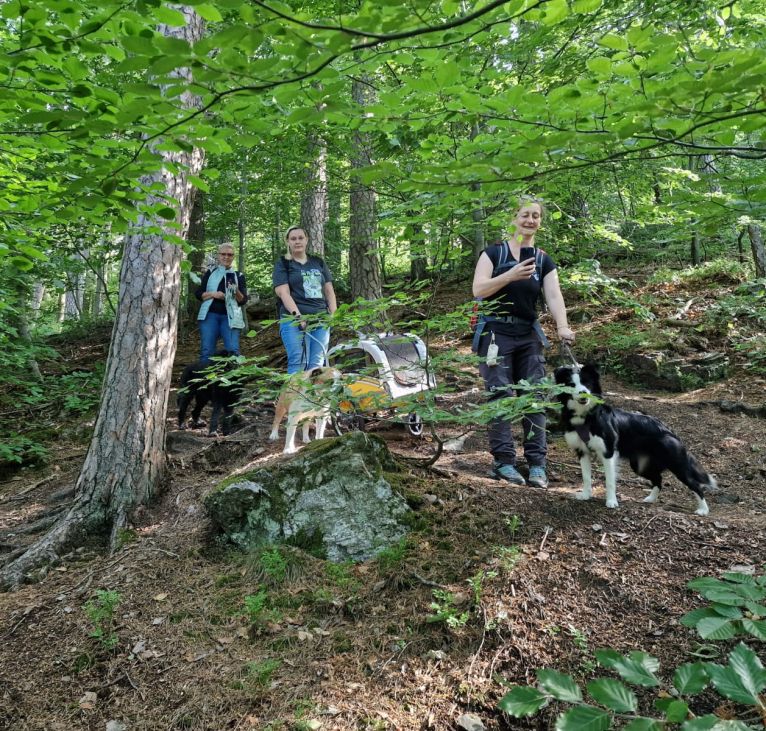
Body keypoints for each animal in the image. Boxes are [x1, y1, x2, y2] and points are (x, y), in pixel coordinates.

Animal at [554, 364, 714, 515]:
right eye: (572, 385)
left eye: (587, 383)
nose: (583, 392)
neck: (586, 417)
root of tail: (669, 430)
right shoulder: (582, 452)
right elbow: (586, 477)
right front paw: (586, 495)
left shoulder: (608, 452)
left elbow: (610, 480)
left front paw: (611, 501)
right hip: (640, 466)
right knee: (658, 479)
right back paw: (651, 499)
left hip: (676, 464)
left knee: (695, 485)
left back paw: (703, 510)